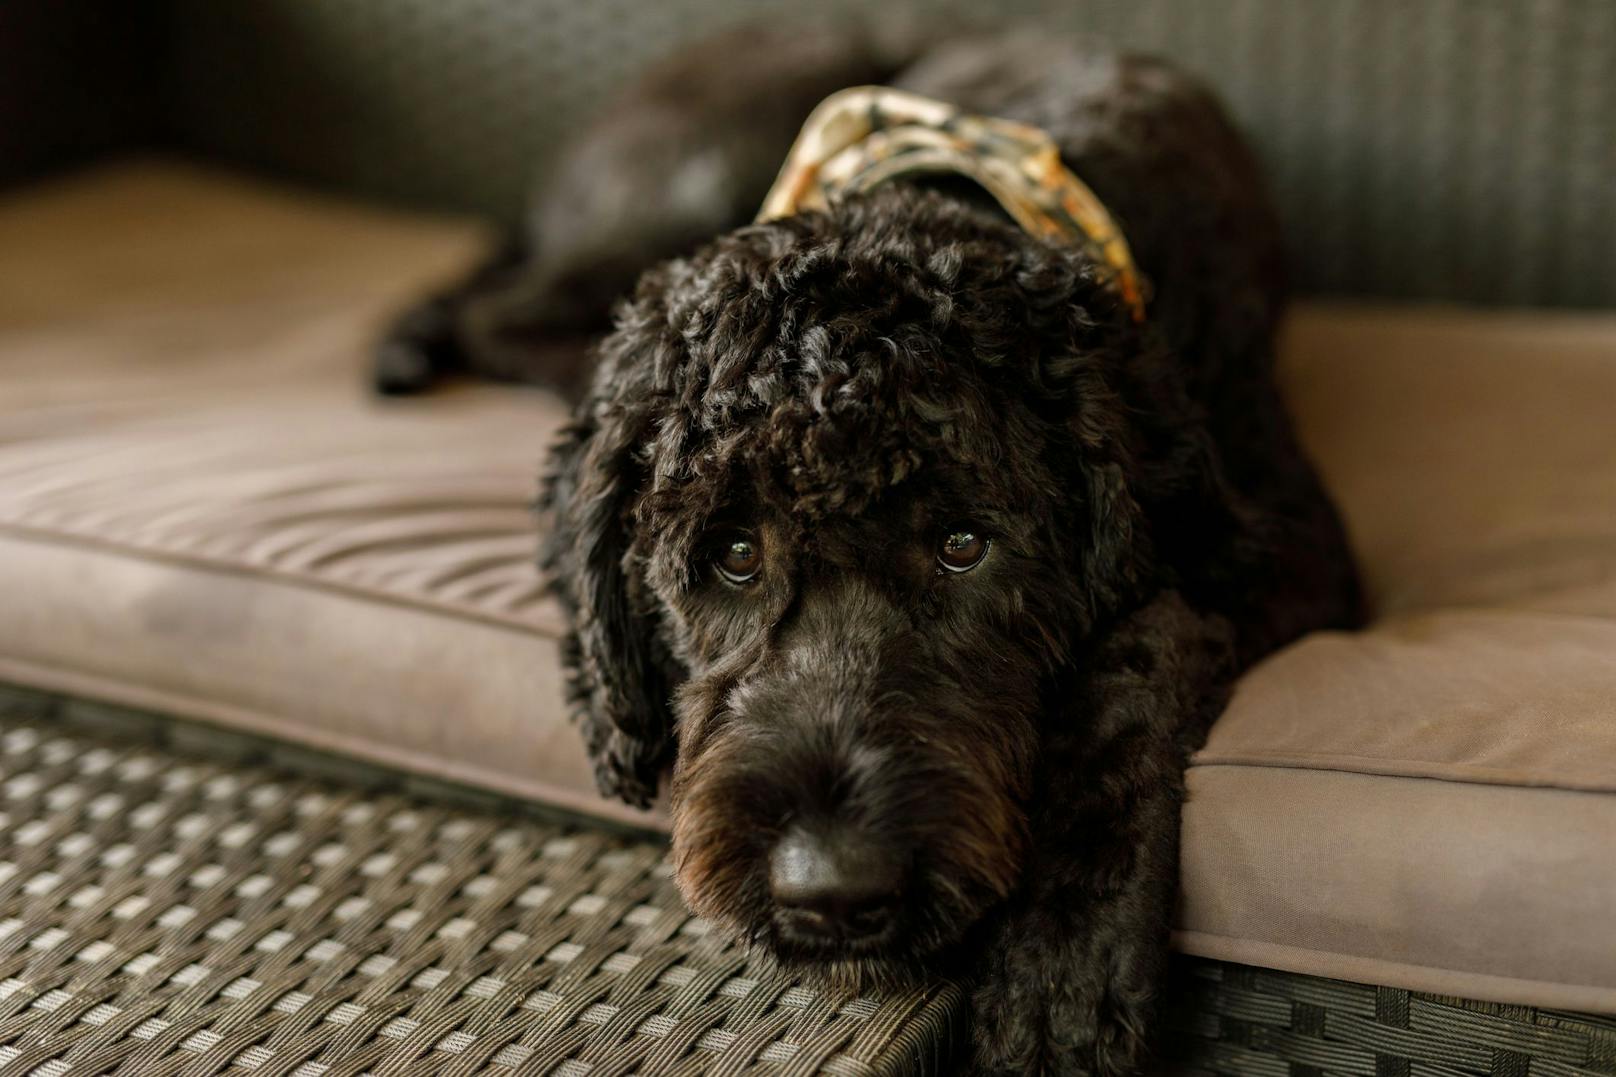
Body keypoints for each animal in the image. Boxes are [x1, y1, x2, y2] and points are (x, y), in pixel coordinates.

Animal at [378, 25, 1363, 1073]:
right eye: (734, 551)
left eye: (964, 544)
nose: (832, 890)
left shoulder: (1289, 546)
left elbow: (1139, 648)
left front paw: (1067, 954)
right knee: (500, 311)